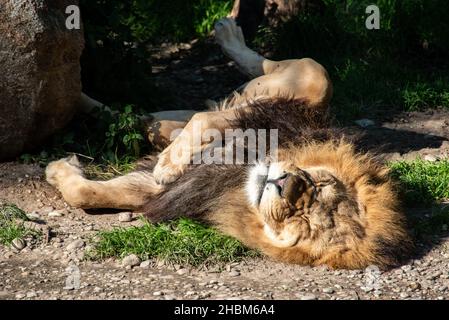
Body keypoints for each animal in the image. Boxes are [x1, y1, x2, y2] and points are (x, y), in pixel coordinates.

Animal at [44, 16, 410, 268]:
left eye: (303, 223)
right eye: (319, 185)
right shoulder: (255, 124)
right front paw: (169, 163)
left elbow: (89, 193)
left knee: (138, 120)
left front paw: (59, 170)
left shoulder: (167, 191)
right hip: (311, 81)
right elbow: (205, 122)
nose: (284, 184)